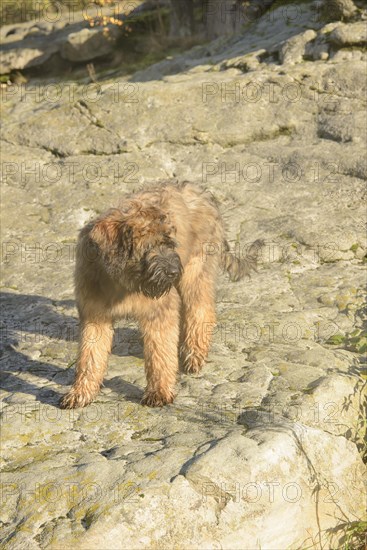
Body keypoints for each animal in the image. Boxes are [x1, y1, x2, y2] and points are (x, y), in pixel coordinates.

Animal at [60, 184, 262, 410]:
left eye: (168, 242)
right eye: (147, 246)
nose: (174, 272)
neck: (122, 281)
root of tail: (203, 193)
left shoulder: (158, 312)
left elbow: (160, 354)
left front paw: (159, 392)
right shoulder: (95, 316)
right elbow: (89, 356)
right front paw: (80, 392)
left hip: (195, 273)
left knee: (200, 310)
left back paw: (194, 354)